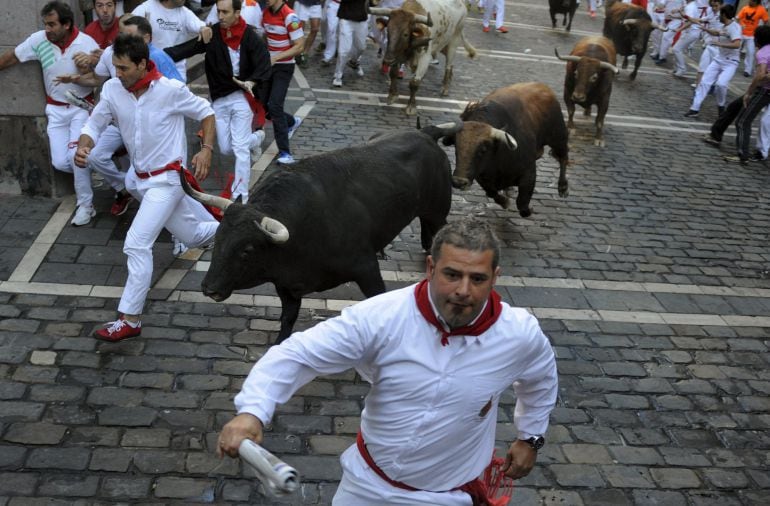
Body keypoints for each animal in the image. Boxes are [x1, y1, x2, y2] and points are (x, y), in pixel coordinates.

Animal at [182, 124, 456, 342]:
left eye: (247, 250)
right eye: (218, 238)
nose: (209, 288)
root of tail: (424, 133)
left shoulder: (366, 268)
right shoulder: (285, 285)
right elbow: (287, 318)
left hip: (437, 212)